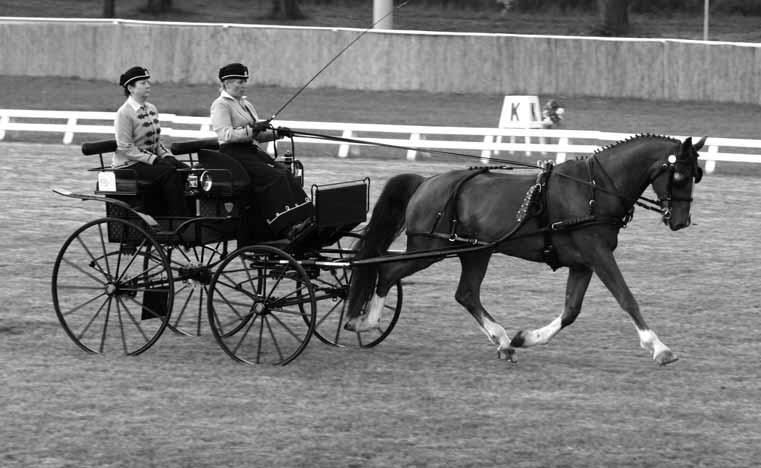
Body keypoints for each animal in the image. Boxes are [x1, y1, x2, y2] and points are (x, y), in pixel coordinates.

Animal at [344, 133, 708, 364]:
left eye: (697, 175)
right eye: (679, 176)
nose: (682, 221)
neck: (594, 189)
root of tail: (426, 182)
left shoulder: (583, 262)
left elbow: (571, 311)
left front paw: (527, 338)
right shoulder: (597, 254)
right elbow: (626, 298)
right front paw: (659, 348)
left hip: (476, 252)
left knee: (466, 294)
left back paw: (504, 342)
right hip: (430, 247)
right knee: (386, 270)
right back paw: (365, 322)